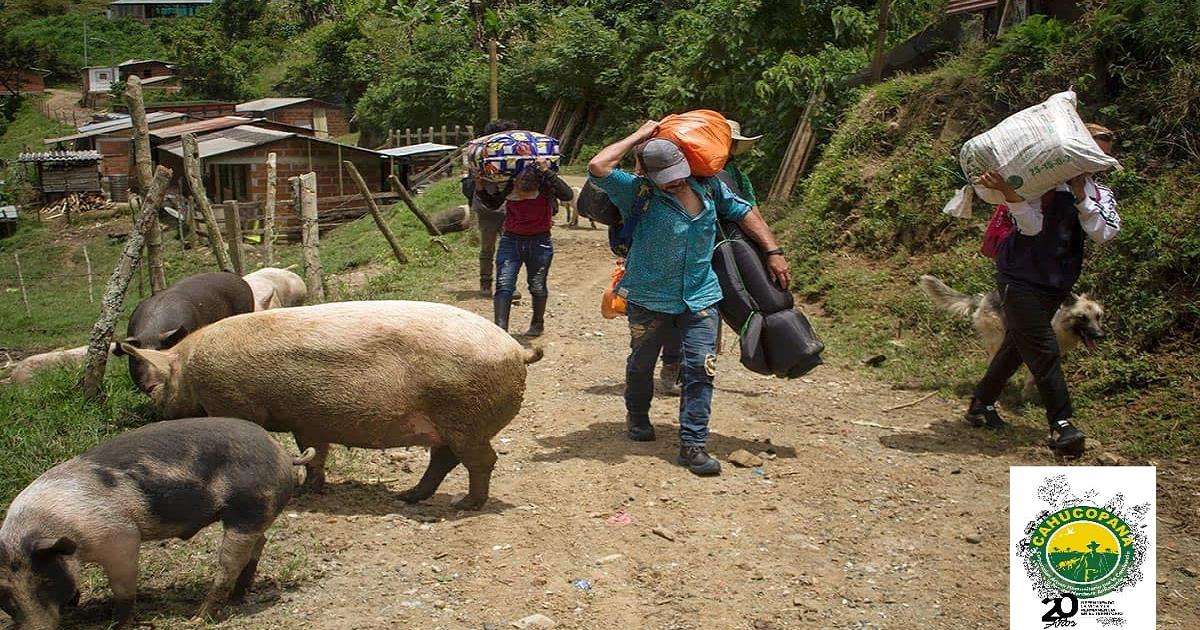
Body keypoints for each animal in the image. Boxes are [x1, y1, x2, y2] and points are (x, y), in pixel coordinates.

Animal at [0, 415, 314, 624]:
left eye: (46, 583)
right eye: (5, 595)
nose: (39, 629)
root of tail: (283, 452)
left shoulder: (121, 537)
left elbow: (124, 588)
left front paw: (117, 623)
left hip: (247, 510)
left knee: (230, 562)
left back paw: (198, 619)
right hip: (255, 514)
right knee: (259, 543)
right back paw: (238, 596)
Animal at [118, 297, 544, 508]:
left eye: (155, 388)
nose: (158, 415)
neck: (189, 370)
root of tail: (517, 351)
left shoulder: (231, 401)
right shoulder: (308, 421)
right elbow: (316, 454)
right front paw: (312, 490)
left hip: (465, 418)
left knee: (481, 460)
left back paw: (465, 505)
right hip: (451, 425)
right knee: (444, 460)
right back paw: (409, 497)